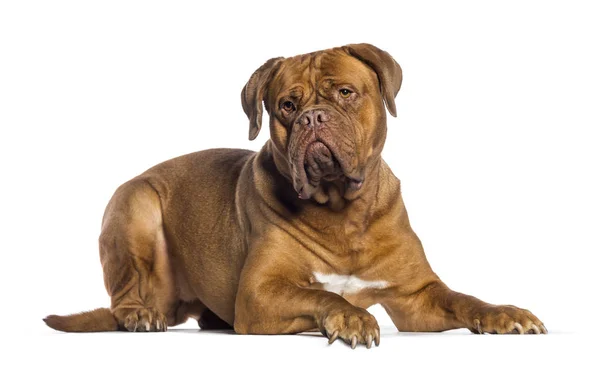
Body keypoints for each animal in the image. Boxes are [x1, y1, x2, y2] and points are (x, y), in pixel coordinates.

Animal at [44, 44, 548, 350]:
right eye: (287, 105)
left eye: (346, 92)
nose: (312, 117)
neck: (343, 211)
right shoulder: (260, 292)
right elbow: (322, 296)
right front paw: (348, 318)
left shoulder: (417, 296)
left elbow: (465, 300)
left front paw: (506, 314)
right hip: (136, 205)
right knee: (125, 293)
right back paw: (139, 315)